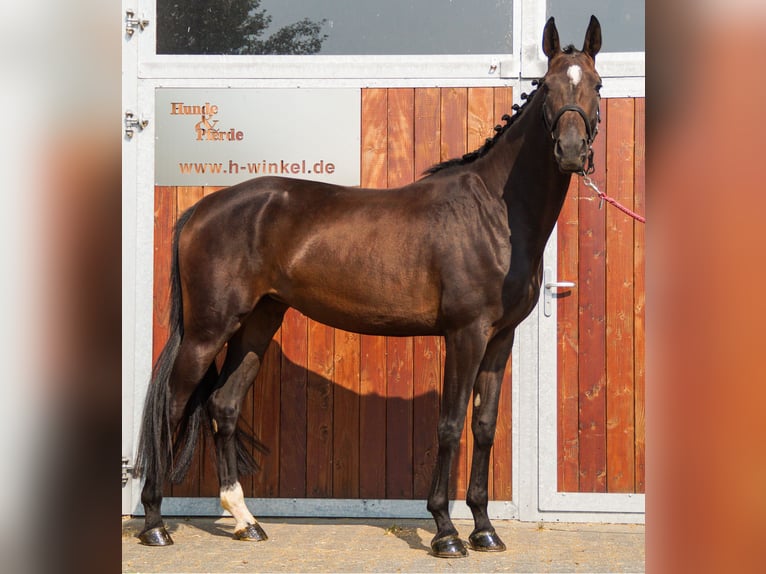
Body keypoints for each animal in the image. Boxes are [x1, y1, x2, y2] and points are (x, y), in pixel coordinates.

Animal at [134, 15, 603, 558]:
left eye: (596, 85)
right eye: (548, 87)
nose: (570, 152)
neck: (494, 212)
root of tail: (200, 210)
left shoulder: (499, 338)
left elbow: (483, 427)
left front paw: (484, 529)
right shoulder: (465, 334)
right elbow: (450, 425)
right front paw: (446, 531)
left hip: (257, 323)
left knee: (222, 405)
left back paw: (245, 520)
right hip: (207, 330)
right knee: (172, 405)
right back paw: (155, 524)